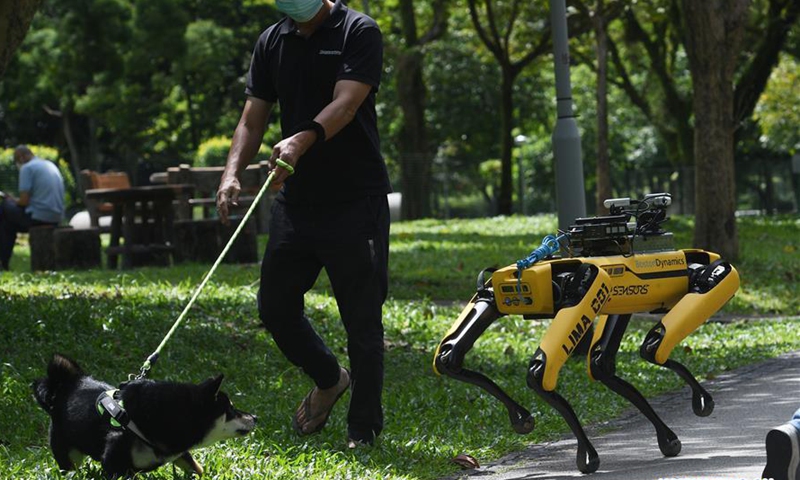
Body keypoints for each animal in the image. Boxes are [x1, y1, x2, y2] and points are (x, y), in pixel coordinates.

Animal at [32, 352, 253, 476]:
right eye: (230, 410)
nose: (255, 418)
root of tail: (65, 386)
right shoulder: (114, 464)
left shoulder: (179, 453)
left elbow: (197, 468)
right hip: (68, 455)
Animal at [434, 192, 740, 472]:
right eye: (511, 290)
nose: (510, 286)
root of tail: (711, 258)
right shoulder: (491, 294)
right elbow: (449, 357)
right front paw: (522, 417)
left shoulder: (587, 281)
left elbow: (540, 372)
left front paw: (586, 454)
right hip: (615, 301)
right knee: (601, 362)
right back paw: (667, 435)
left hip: (719, 278)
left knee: (652, 345)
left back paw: (695, 403)